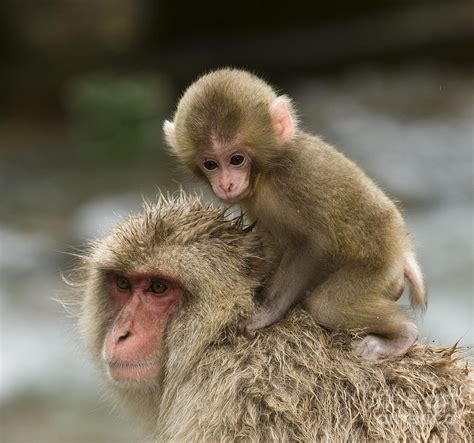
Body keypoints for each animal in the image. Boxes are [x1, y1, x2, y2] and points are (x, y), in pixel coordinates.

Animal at [163, 69, 426, 360]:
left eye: (236, 159)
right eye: (210, 164)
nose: (226, 184)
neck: (266, 174)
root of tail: (400, 250)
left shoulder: (298, 178)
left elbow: (314, 243)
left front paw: (267, 313)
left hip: (378, 268)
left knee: (326, 305)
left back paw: (402, 336)